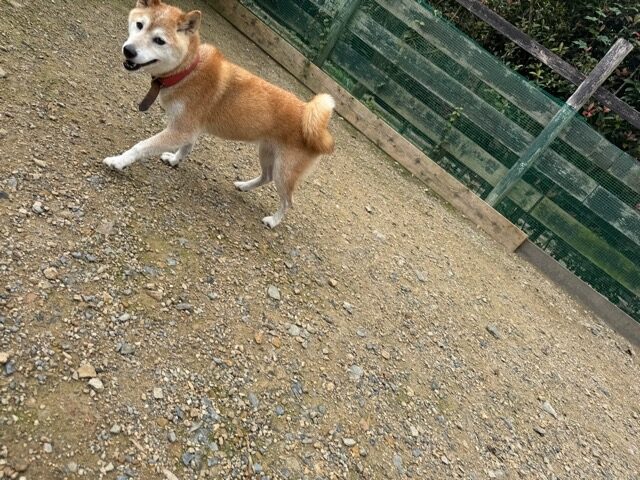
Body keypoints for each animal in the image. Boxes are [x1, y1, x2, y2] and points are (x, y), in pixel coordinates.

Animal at [104, 0, 335, 228]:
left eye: (159, 40)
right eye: (139, 25)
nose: (128, 51)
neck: (187, 70)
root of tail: (319, 129)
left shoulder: (180, 129)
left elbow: (141, 146)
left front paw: (119, 161)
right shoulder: (190, 130)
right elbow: (186, 148)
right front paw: (174, 160)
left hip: (284, 171)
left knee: (288, 201)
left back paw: (273, 220)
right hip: (268, 153)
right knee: (266, 177)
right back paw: (244, 185)